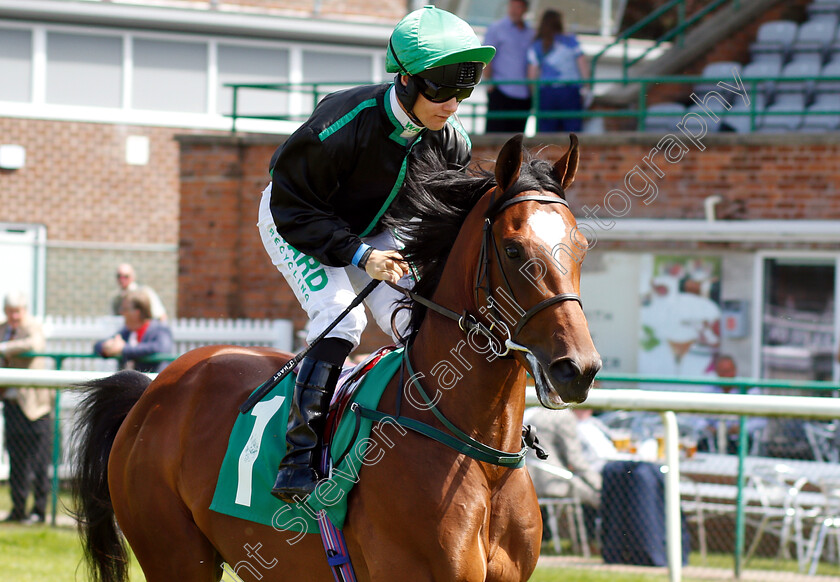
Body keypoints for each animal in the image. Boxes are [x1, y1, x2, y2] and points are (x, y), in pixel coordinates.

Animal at [70, 135, 596, 580]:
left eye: (582, 248)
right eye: (513, 249)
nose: (578, 369)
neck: (478, 455)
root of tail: (153, 387)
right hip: (174, 555)